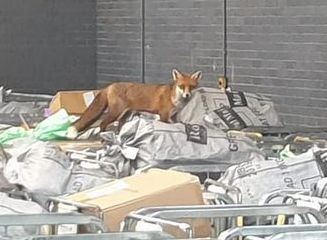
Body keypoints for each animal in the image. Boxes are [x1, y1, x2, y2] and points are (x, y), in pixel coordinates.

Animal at [65, 69, 201, 139]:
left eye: (191, 87)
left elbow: (178, 123)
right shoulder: (163, 115)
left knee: (119, 125)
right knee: (103, 123)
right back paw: (103, 136)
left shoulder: (173, 116)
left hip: (124, 115)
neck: (175, 98)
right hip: (116, 113)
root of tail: (109, 86)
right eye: (182, 86)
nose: (187, 95)